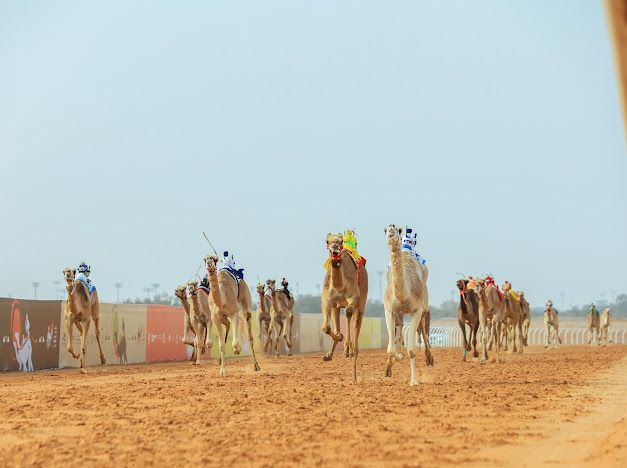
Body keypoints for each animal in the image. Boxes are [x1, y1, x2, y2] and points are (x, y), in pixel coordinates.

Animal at [324, 232, 368, 382]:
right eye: (327, 241)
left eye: (341, 241)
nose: (335, 250)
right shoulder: (328, 299)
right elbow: (326, 328)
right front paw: (339, 341)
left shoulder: (354, 298)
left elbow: (348, 311)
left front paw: (347, 348)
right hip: (337, 306)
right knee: (337, 323)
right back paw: (329, 354)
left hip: (361, 304)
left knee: (355, 319)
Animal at [382, 225, 432, 386]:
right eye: (385, 230)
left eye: (397, 230)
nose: (391, 232)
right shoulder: (389, 309)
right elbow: (390, 348)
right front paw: (397, 357)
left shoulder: (416, 310)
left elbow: (411, 349)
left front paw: (414, 381)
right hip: (399, 312)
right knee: (399, 327)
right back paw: (389, 366)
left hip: (424, 303)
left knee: (422, 326)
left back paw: (429, 357)